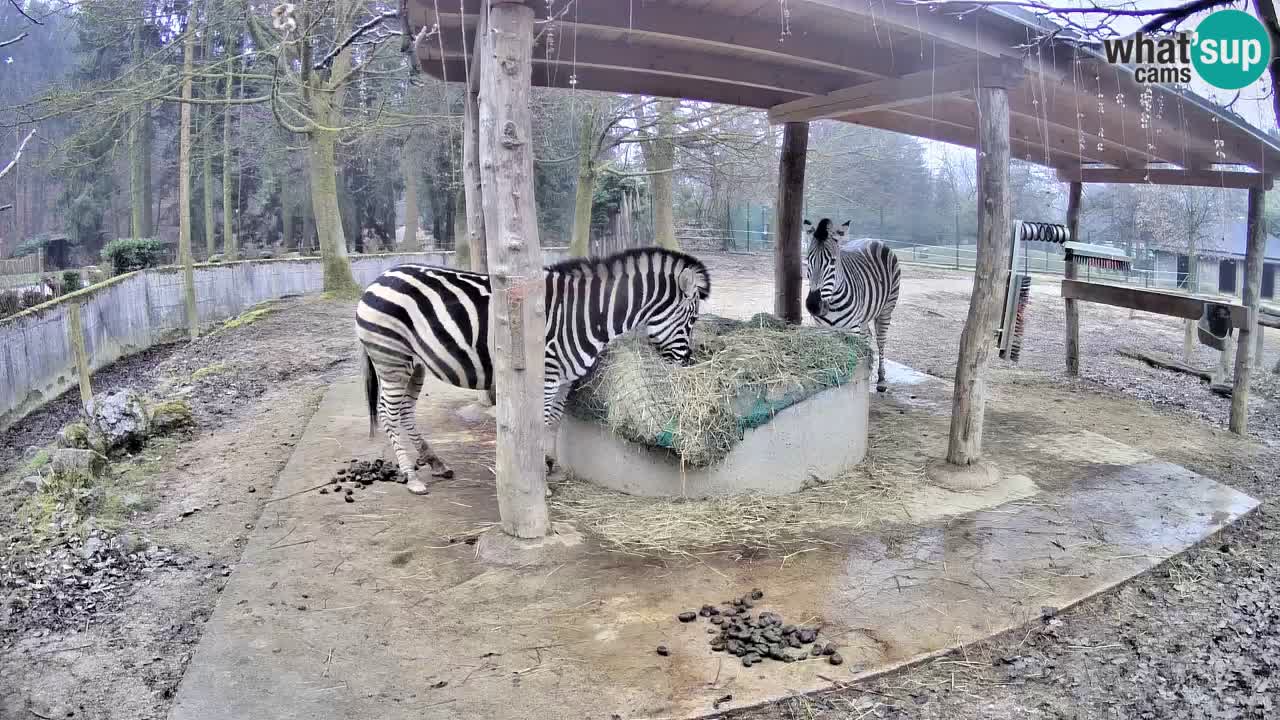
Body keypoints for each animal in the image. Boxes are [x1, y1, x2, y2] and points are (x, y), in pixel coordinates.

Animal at [355, 245, 711, 491]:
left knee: (404, 412)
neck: (587, 314)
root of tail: (377, 280)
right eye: (692, 319)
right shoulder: (548, 376)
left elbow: (553, 422)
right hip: (392, 358)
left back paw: (436, 463)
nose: (687, 364)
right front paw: (541, 480)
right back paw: (411, 477)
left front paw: (551, 466)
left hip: (415, 364)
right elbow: (539, 424)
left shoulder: (564, 379)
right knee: (389, 413)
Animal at [803, 217, 906, 392]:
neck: (833, 304)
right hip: (864, 316)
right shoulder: (824, 330)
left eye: (833, 262)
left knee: (881, 340)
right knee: (867, 336)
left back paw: (881, 379)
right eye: (808, 260)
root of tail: (873, 239)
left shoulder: (852, 330)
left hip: (886, 308)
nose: (813, 305)